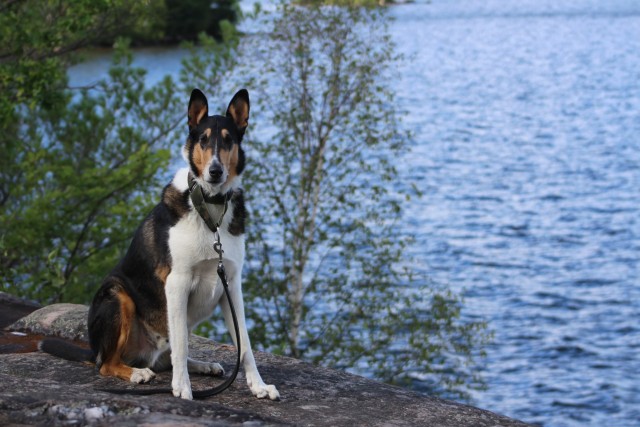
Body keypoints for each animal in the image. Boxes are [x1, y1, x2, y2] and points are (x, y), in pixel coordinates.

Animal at [40, 88, 280, 402]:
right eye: (203, 140)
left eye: (229, 140)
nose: (215, 171)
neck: (210, 210)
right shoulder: (177, 283)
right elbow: (181, 343)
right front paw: (183, 389)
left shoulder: (231, 284)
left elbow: (245, 345)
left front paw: (259, 387)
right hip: (117, 296)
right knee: (107, 364)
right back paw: (137, 373)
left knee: (166, 355)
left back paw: (202, 365)